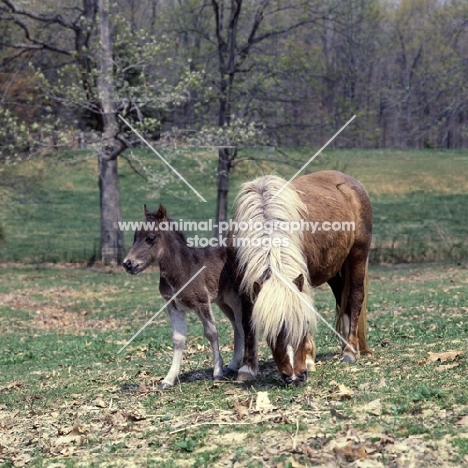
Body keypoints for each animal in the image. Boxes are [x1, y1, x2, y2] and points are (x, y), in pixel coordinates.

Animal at [121, 205, 245, 388]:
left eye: (150, 238)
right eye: (135, 236)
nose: (127, 263)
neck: (183, 269)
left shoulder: (202, 303)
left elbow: (211, 332)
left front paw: (217, 372)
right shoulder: (173, 306)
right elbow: (178, 339)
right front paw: (168, 379)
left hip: (235, 298)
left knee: (242, 325)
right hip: (223, 301)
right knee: (237, 326)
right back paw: (233, 365)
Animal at [229, 170, 372, 386]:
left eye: (304, 324)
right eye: (270, 330)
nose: (295, 377)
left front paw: (310, 359)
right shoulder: (244, 285)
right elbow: (247, 323)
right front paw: (247, 368)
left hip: (357, 256)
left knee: (355, 298)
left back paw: (350, 350)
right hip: (334, 270)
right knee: (343, 301)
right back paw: (346, 345)